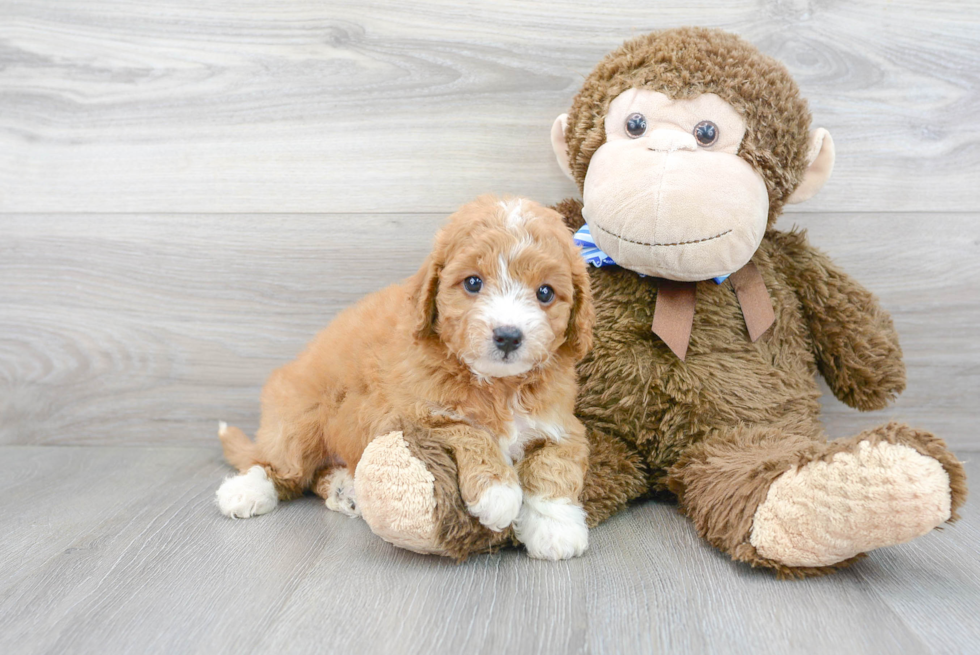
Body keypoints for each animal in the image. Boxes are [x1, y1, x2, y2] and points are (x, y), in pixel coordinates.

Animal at [217, 193, 592, 560]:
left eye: (545, 292)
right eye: (473, 283)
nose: (509, 336)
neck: (499, 384)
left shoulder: (562, 424)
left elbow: (555, 465)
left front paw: (555, 528)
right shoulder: (407, 414)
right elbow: (468, 429)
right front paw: (497, 490)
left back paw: (343, 488)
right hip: (300, 419)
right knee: (280, 466)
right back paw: (246, 490)